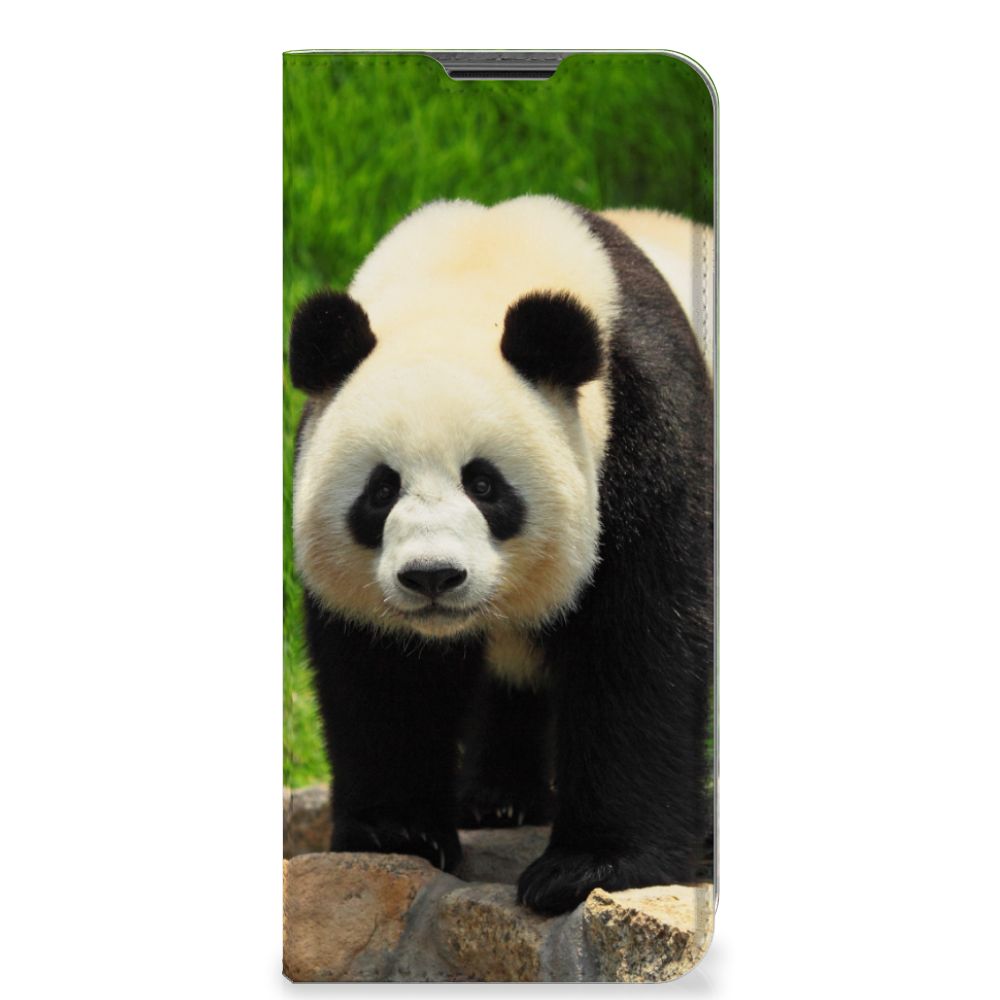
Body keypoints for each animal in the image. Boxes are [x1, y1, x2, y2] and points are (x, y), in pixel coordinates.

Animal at [290, 195, 714, 916]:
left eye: (484, 485)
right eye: (381, 490)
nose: (432, 577)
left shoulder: (645, 432)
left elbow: (642, 645)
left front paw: (588, 867)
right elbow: (383, 672)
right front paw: (397, 831)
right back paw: (498, 799)